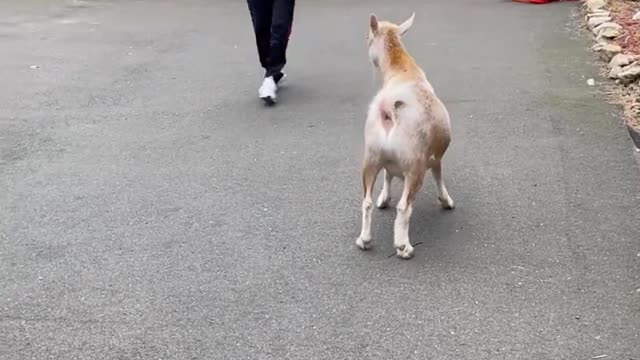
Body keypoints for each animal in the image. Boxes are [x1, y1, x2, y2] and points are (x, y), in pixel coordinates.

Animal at [356, 11, 456, 258]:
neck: (402, 70)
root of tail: (389, 110)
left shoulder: (388, 162)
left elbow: (388, 176)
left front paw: (384, 198)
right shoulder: (434, 157)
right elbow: (439, 179)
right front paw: (446, 201)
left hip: (370, 159)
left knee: (366, 201)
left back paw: (364, 239)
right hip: (415, 165)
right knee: (404, 207)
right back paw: (403, 246)